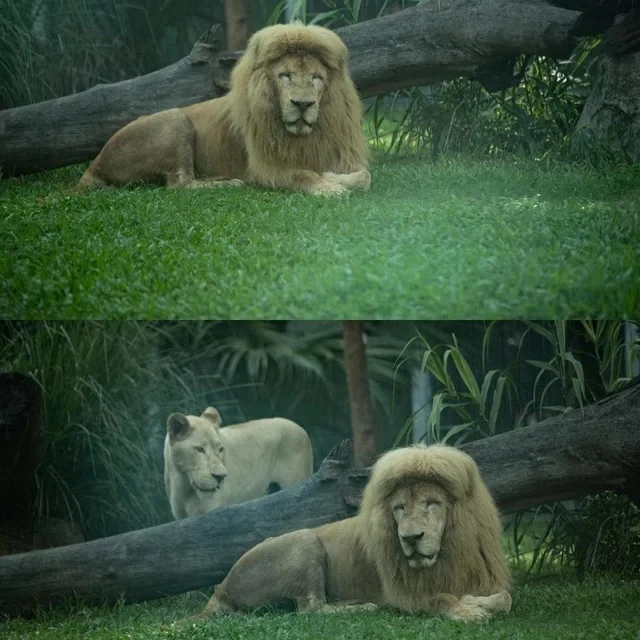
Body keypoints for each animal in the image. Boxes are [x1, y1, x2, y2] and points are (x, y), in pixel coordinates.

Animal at [75, 23, 370, 197]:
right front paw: (328, 185)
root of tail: (95, 163)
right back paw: (229, 183)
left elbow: (366, 176)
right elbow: (303, 175)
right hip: (176, 118)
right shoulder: (267, 167)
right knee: (180, 184)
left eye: (316, 78)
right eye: (285, 76)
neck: (307, 136)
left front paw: (334, 176)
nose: (302, 104)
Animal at [195, 444, 512, 622]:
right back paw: (364, 608)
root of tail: (221, 587)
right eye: (399, 508)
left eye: (431, 503)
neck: (448, 551)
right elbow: (442, 599)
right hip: (305, 538)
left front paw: (475, 601)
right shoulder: (405, 594)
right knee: (310, 608)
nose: (410, 538)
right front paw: (468, 611)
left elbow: (505, 598)